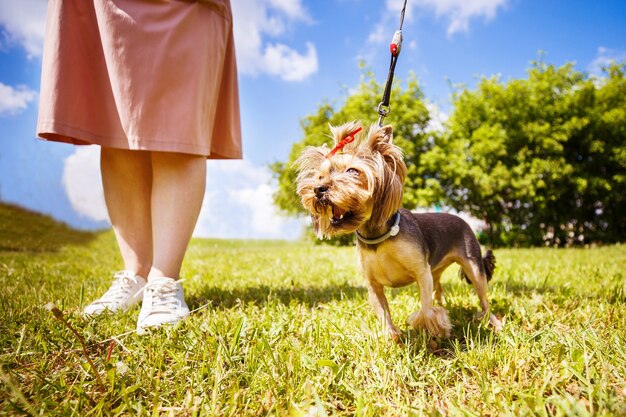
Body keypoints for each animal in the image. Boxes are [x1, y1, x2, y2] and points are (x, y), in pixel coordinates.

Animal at [294, 121, 502, 342]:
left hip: (473, 265)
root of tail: (462, 219)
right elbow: (383, 312)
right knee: (438, 288)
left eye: (353, 171)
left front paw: (436, 327)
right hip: (436, 269)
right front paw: (392, 336)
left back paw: (491, 321)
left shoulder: (422, 272)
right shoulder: (373, 285)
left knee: (483, 296)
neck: (377, 236)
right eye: (320, 176)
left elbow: (426, 308)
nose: (318, 189)